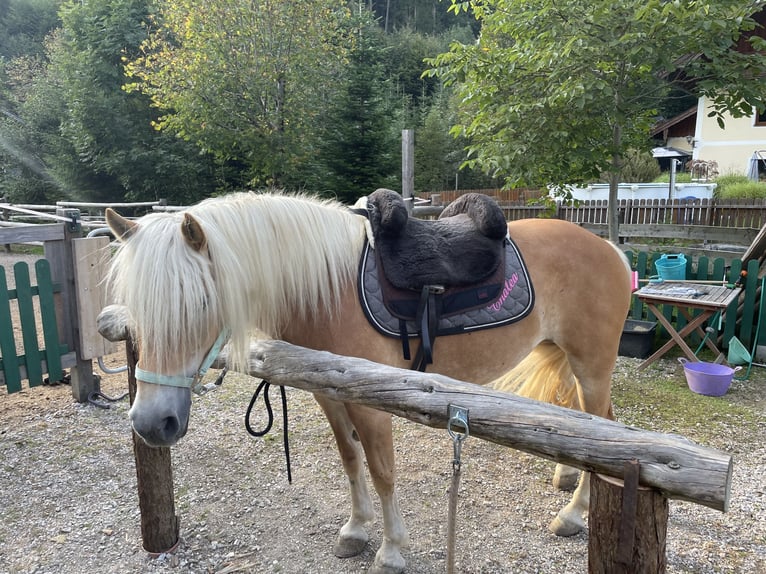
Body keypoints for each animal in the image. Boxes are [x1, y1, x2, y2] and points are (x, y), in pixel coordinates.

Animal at [106, 191, 636, 572]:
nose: (151, 423)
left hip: (592, 364)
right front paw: (355, 530)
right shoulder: (328, 391)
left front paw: (391, 550)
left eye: (198, 303)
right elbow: (349, 458)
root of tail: (608, 247)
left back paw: (574, 514)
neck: (325, 287)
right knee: (586, 424)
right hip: (562, 354)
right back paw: (567, 476)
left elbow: (382, 469)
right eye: (134, 306)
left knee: (604, 426)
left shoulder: (370, 400)